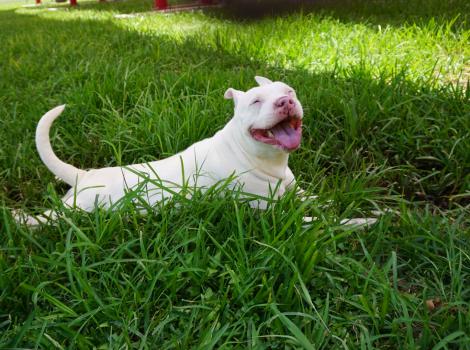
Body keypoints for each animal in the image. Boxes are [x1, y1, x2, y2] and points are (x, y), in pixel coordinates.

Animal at [15, 76, 378, 227]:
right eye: (255, 101)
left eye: (289, 91)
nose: (285, 102)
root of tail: (85, 175)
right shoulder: (277, 215)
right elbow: (331, 222)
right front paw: (371, 220)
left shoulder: (293, 190)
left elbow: (320, 200)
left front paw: (355, 205)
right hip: (77, 212)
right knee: (44, 219)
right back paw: (21, 221)